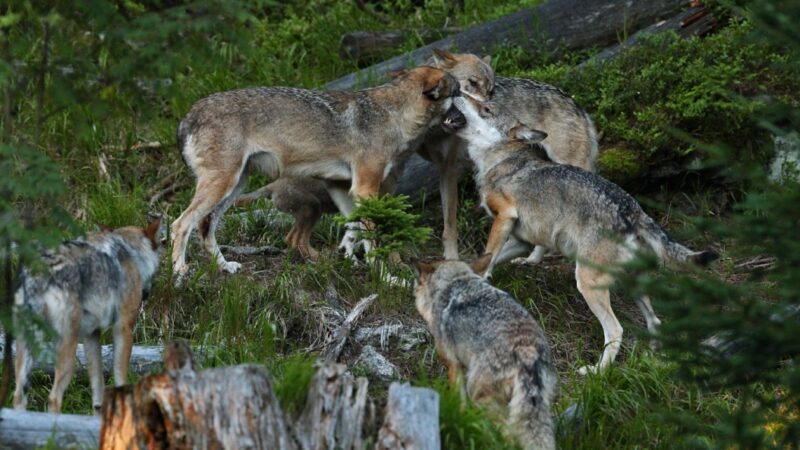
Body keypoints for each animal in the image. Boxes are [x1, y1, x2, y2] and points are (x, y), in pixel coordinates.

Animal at [13, 220, 162, 414]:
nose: (146, 294)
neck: (129, 251)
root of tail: (40, 271)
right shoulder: (123, 328)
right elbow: (120, 377)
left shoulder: (91, 334)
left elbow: (98, 388)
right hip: (67, 350)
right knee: (54, 398)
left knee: (18, 396)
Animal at [172, 67, 460, 278]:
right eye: (458, 93)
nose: (464, 118)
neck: (393, 116)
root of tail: (188, 116)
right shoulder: (365, 188)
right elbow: (372, 238)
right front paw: (386, 277)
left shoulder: (342, 188)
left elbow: (354, 230)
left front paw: (348, 258)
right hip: (222, 186)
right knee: (180, 224)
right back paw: (179, 271)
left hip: (234, 187)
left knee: (204, 226)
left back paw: (224, 267)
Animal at [416, 253, 560, 450]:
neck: (456, 281)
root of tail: (527, 352)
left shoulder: (453, 365)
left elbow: (459, 401)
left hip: (480, 397)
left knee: (507, 434)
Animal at [422, 48, 596, 260]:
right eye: (472, 83)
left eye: (491, 91)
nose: (491, 107)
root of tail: (576, 104)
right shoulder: (443, 169)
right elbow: (448, 224)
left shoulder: (450, 168)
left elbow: (450, 226)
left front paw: (452, 259)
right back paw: (532, 259)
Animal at [444, 96, 720, 374]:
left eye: (486, 108)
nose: (457, 92)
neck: (500, 159)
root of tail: (634, 212)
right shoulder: (522, 240)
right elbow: (491, 258)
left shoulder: (505, 217)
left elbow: (488, 254)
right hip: (632, 285)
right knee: (655, 321)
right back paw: (655, 357)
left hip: (587, 283)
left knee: (616, 330)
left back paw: (596, 371)